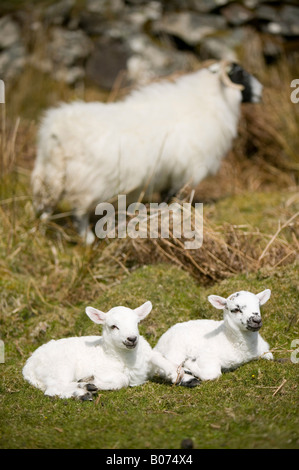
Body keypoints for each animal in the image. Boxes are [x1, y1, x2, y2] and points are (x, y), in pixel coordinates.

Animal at [22, 302, 183, 400]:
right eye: (113, 326)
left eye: (137, 323)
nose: (132, 339)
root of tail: (28, 368)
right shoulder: (103, 369)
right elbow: (122, 379)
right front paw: (94, 381)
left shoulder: (146, 353)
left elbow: (158, 356)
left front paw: (175, 373)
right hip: (59, 367)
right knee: (53, 388)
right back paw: (83, 391)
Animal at [31, 61, 264, 244]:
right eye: (240, 73)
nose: (261, 92)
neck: (209, 102)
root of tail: (56, 131)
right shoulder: (185, 172)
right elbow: (173, 199)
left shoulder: (172, 174)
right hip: (86, 183)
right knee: (79, 213)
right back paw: (87, 239)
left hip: (50, 175)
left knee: (46, 207)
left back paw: (39, 231)